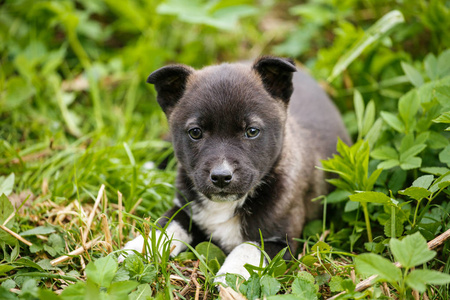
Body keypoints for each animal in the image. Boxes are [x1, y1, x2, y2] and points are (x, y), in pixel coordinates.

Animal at [120, 56, 352, 284]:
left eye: (252, 131)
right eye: (195, 132)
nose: (221, 177)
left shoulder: (282, 240)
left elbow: (248, 249)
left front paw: (230, 276)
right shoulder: (186, 208)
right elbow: (166, 224)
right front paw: (136, 250)